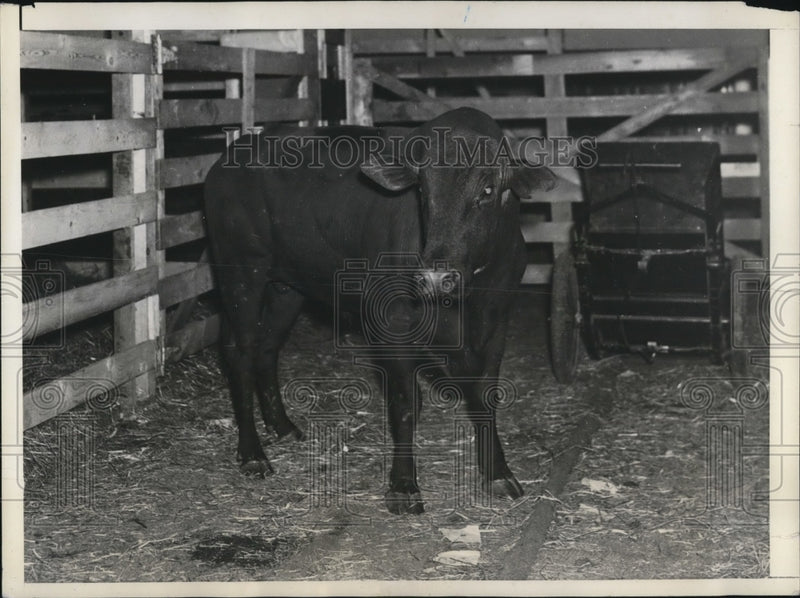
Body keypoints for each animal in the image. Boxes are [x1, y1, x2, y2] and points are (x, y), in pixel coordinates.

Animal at [203, 108, 555, 514]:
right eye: (423, 190)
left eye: (486, 190)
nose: (435, 277)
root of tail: (232, 155)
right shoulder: (393, 323)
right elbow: (405, 403)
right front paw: (403, 485)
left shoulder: (497, 320)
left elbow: (485, 396)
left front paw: (498, 473)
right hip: (241, 273)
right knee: (240, 352)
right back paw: (252, 453)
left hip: (286, 287)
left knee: (266, 347)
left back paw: (283, 426)